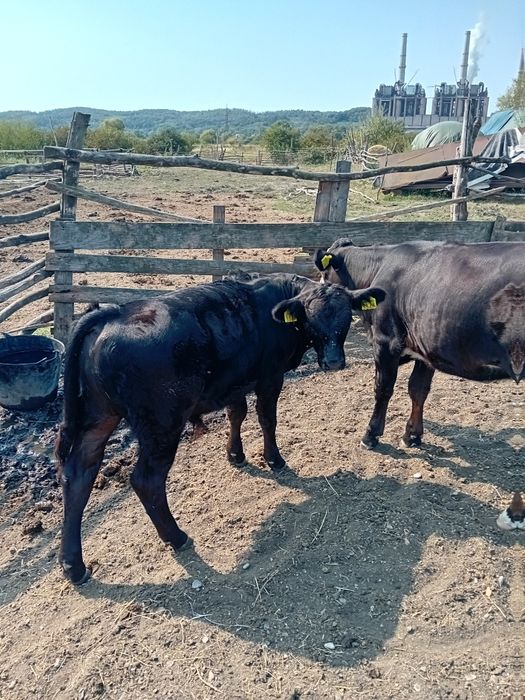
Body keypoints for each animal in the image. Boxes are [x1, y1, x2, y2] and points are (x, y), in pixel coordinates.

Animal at [56, 274, 386, 584]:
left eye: (346, 317)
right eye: (310, 318)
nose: (333, 362)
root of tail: (113, 312)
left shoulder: (234, 380)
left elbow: (236, 414)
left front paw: (235, 455)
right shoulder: (270, 376)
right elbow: (266, 418)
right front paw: (274, 459)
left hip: (98, 416)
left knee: (79, 475)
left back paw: (73, 565)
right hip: (161, 423)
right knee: (146, 480)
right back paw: (176, 537)